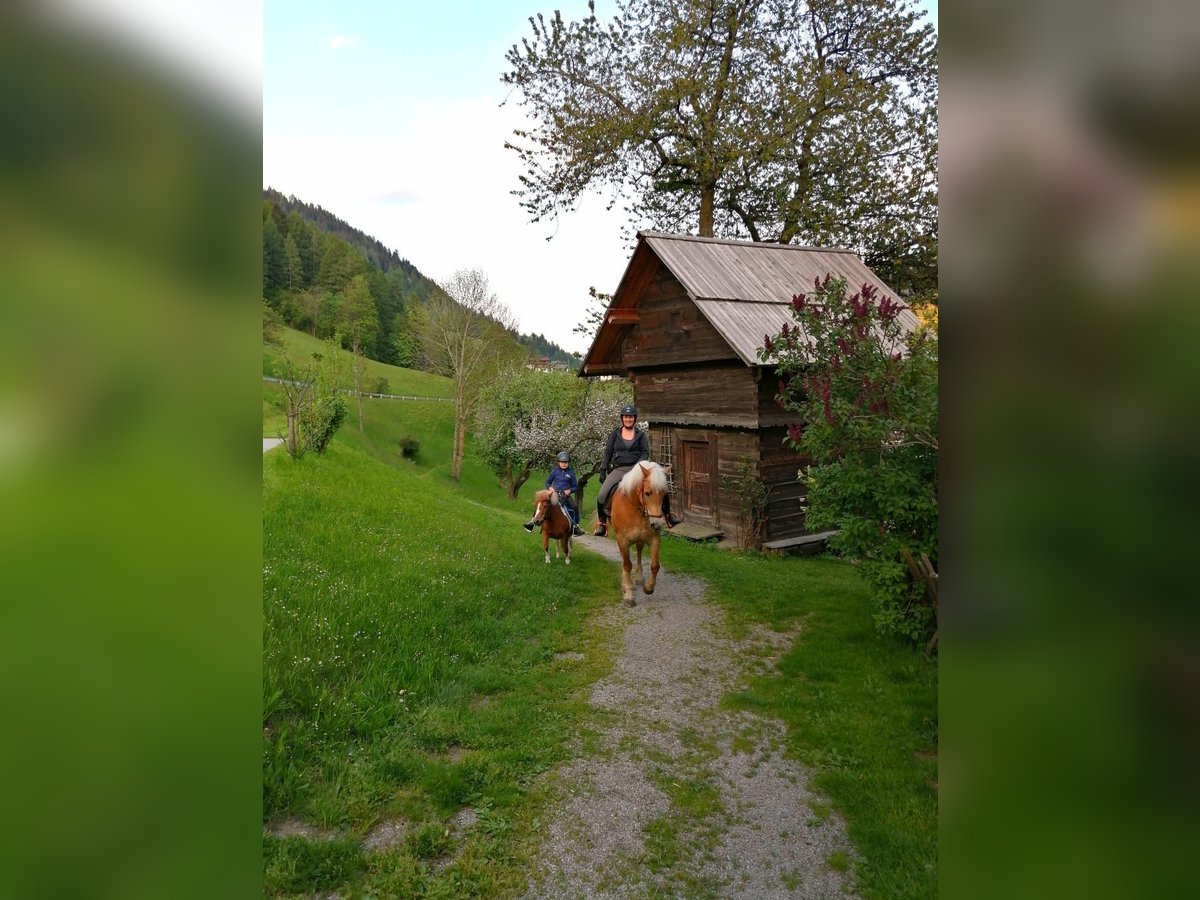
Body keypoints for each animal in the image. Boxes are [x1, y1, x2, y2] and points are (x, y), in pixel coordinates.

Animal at [608, 461, 671, 605]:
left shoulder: (654, 538)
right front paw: (629, 594)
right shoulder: (622, 540)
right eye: (647, 493)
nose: (657, 523)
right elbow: (627, 565)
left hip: (640, 539)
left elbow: (655, 566)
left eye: (664, 493)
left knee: (639, 551)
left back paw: (639, 578)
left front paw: (649, 588)